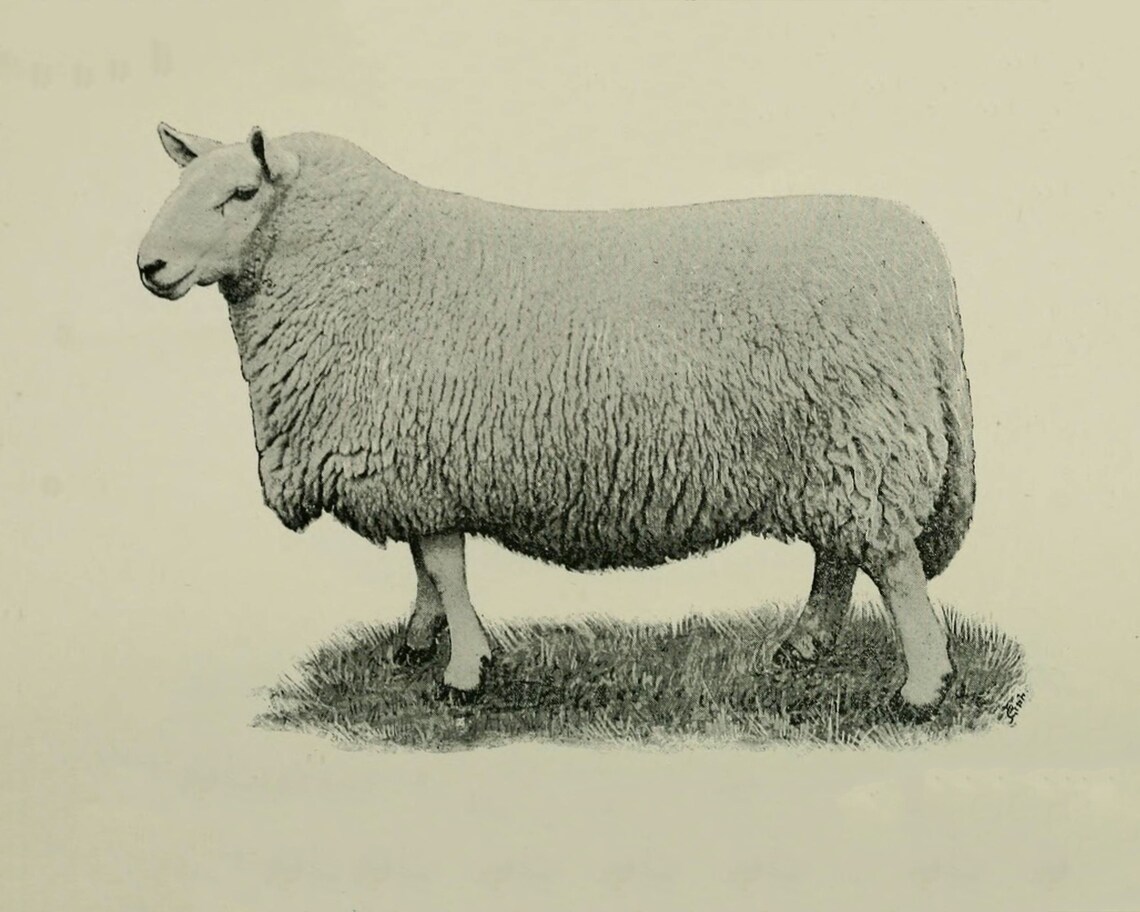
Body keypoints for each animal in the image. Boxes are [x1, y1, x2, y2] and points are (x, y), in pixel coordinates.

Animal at [137, 123, 976, 718]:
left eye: (242, 192)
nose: (149, 267)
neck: (350, 269)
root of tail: (921, 256)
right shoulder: (415, 466)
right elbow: (424, 565)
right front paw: (418, 640)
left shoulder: (426, 456)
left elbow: (445, 564)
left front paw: (465, 670)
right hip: (830, 450)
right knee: (839, 556)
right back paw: (805, 646)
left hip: (861, 436)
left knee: (893, 565)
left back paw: (922, 689)